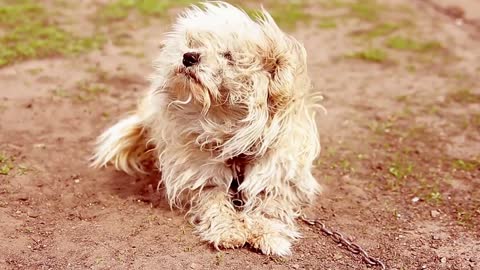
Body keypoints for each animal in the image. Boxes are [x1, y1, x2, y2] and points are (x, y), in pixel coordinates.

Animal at [90, 1, 322, 256]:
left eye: (228, 56)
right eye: (194, 44)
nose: (189, 56)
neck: (227, 126)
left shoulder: (277, 176)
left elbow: (269, 206)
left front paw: (269, 234)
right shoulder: (203, 176)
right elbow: (215, 201)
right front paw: (228, 230)